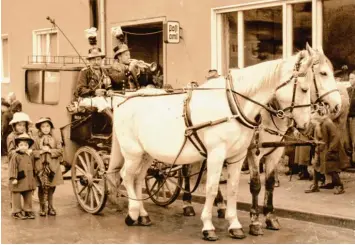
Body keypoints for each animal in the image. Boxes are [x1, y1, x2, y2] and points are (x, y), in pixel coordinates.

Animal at [108, 48, 314, 240]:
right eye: (304, 89)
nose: (306, 125)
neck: (232, 105)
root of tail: (123, 100)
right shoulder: (217, 154)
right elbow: (212, 188)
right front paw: (208, 226)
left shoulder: (238, 156)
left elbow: (232, 188)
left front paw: (235, 225)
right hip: (132, 152)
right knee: (126, 175)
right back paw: (133, 212)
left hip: (147, 154)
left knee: (138, 178)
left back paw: (142, 215)